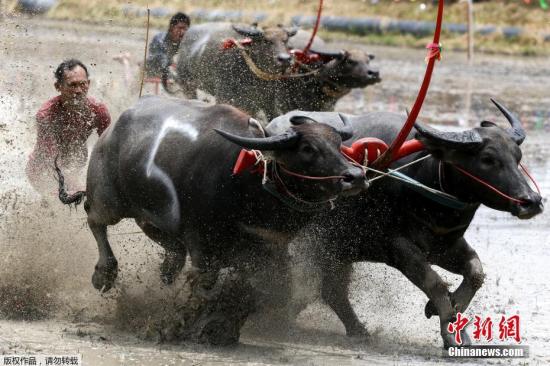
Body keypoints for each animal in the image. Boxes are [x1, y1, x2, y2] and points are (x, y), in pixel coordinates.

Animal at [58, 95, 368, 346]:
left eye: (338, 143)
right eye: (307, 149)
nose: (356, 176)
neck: (249, 182)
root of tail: (112, 130)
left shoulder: (270, 247)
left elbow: (266, 290)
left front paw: (222, 329)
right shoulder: (200, 238)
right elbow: (204, 286)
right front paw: (178, 327)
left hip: (152, 217)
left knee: (170, 246)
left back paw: (167, 270)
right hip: (109, 200)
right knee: (95, 220)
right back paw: (104, 274)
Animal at [270, 100, 544, 348]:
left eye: (518, 157)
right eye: (487, 158)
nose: (531, 201)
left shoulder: (445, 245)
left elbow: (476, 272)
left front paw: (448, 311)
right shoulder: (398, 248)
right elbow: (434, 282)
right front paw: (448, 328)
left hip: (335, 250)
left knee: (329, 290)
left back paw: (354, 329)